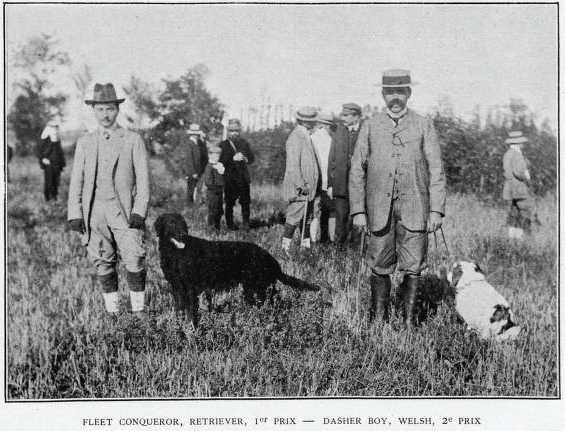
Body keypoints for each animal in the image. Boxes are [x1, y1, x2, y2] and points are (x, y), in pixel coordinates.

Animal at [154, 214, 320, 330]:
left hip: (258, 289)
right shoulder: (177, 288)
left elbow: (190, 313)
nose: (183, 234)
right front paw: (178, 328)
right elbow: (179, 312)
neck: (176, 253)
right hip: (254, 290)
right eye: (171, 223)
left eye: (182, 223)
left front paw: (192, 331)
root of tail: (272, 259)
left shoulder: (190, 289)